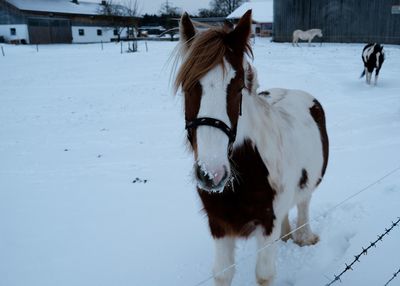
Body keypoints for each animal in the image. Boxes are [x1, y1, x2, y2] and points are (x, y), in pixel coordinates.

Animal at [174, 10, 328, 284]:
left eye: (237, 87)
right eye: (187, 86)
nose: (211, 174)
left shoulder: (267, 223)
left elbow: (264, 274)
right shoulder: (219, 225)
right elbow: (223, 273)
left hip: (309, 183)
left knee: (303, 203)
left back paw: (304, 236)